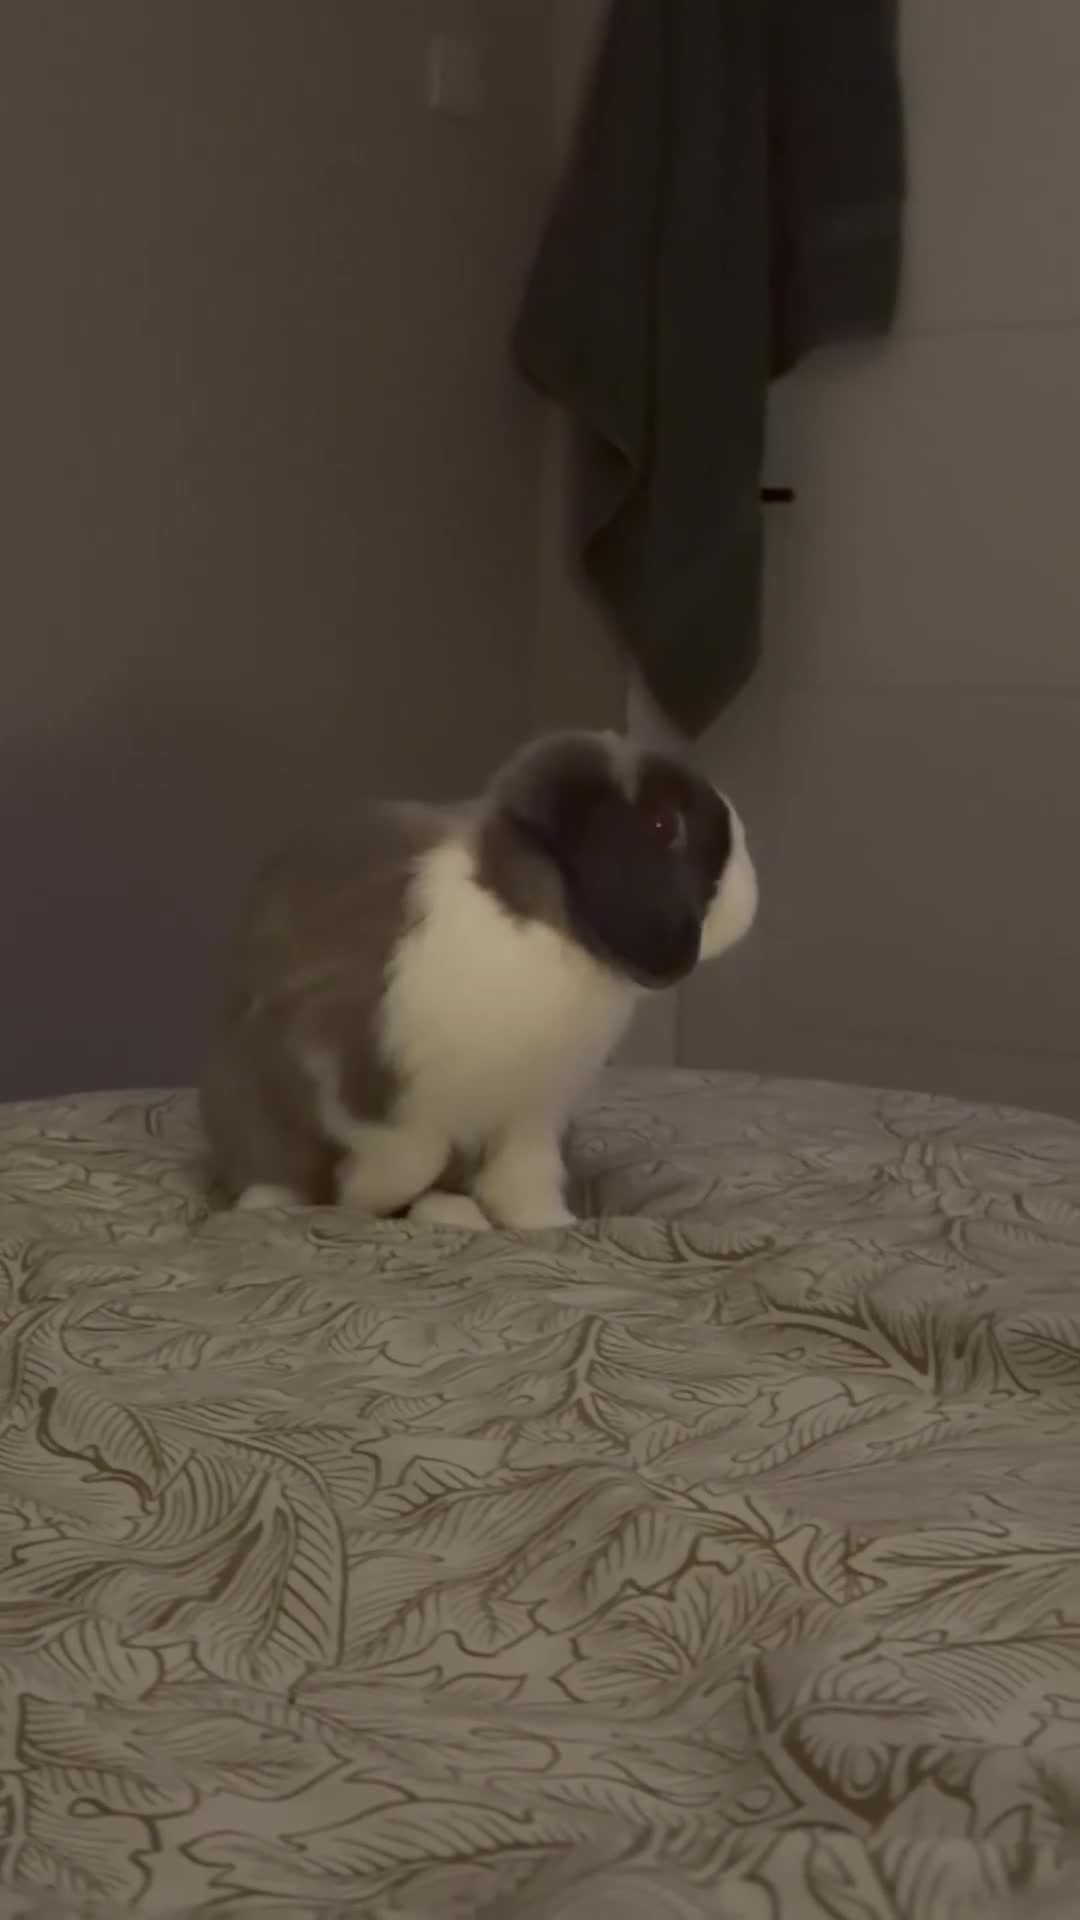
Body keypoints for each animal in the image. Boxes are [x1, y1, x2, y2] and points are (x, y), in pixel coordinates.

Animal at [199, 729, 757, 1231]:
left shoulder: (533, 1116)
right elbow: (411, 1156)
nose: (748, 890)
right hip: (247, 1107)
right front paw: (362, 1198)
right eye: (664, 823)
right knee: (276, 1170)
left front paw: (552, 1227)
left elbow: (524, 1183)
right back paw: (270, 1203)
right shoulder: (346, 1063)